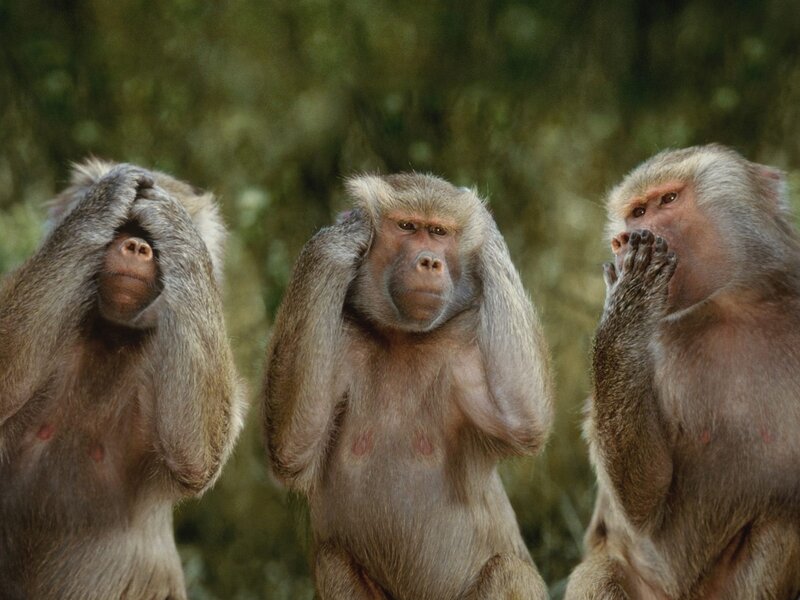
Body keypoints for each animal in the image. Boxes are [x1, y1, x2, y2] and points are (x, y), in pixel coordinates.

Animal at [0, 159, 246, 600]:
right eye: (123, 228)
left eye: (150, 237)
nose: (135, 246)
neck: (111, 335)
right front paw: (107, 195)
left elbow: (197, 453)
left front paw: (171, 217)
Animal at [263, 173, 554, 600]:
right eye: (407, 226)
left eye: (439, 232)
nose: (430, 261)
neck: (402, 338)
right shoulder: (343, 338)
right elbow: (292, 448)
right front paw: (341, 237)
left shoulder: (464, 346)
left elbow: (525, 419)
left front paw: (487, 232)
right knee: (332, 560)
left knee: (510, 571)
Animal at [565, 144, 800, 599]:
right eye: (636, 212)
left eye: (668, 200)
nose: (623, 239)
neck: (730, 307)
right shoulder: (654, 343)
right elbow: (645, 500)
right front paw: (628, 300)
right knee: (601, 572)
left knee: (783, 522)